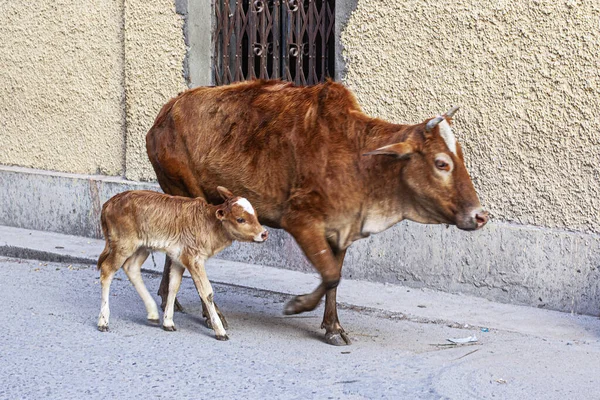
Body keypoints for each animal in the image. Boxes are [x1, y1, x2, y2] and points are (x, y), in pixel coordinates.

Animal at [96, 186, 268, 340]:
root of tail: (108, 203)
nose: (264, 233)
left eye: (255, 215)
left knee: (131, 268)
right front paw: (220, 331)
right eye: (240, 219)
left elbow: (173, 286)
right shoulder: (194, 259)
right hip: (123, 244)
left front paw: (168, 322)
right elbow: (207, 292)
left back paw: (153, 314)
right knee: (107, 270)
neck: (208, 224)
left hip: (142, 247)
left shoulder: (179, 259)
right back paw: (103, 322)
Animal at [145, 79, 488, 346]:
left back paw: (168, 299)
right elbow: (331, 274)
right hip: (188, 192)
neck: (359, 160)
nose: (479, 215)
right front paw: (297, 306)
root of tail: (164, 114)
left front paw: (333, 328)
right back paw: (208, 314)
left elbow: (334, 278)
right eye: (441, 163)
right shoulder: (300, 221)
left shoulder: (342, 229)